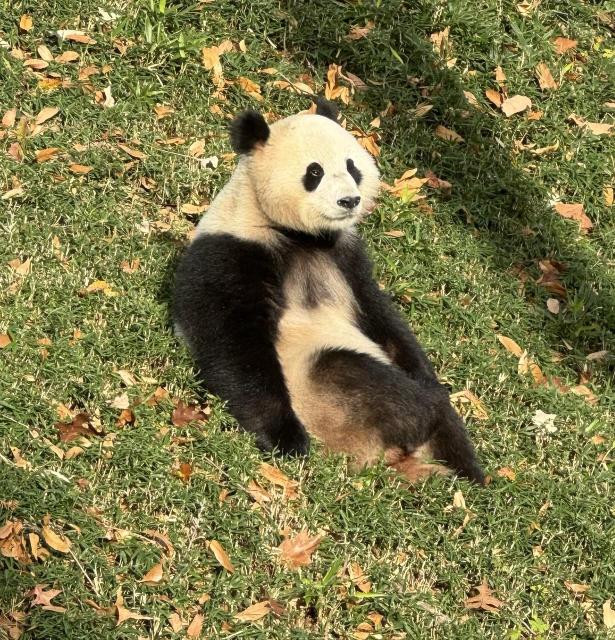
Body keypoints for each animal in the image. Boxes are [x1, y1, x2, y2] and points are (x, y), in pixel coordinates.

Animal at [173, 99, 485, 484]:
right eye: (315, 172)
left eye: (352, 167)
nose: (350, 200)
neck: (299, 236)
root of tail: (387, 455)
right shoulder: (231, 250)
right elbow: (233, 343)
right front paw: (287, 439)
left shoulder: (346, 256)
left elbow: (381, 317)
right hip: (327, 400)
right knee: (359, 376)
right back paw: (420, 414)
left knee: (447, 425)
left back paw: (469, 473)